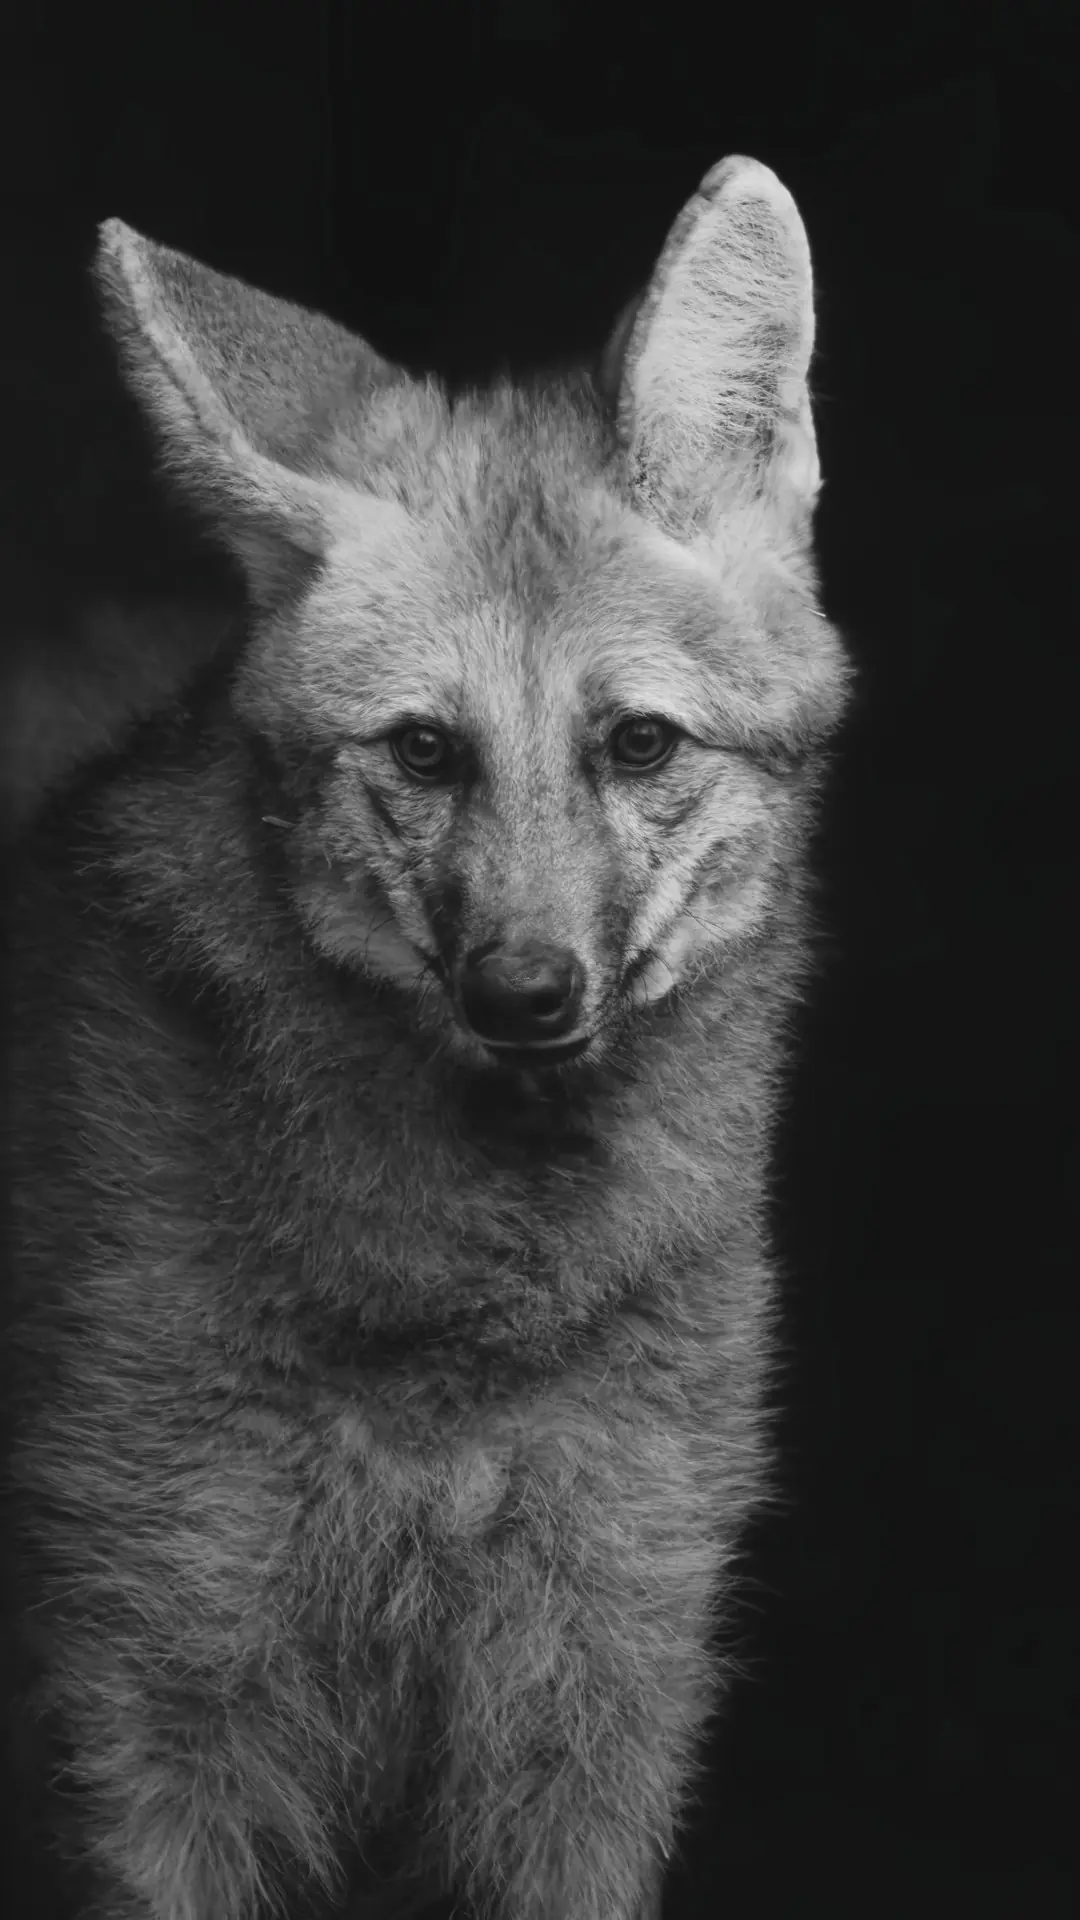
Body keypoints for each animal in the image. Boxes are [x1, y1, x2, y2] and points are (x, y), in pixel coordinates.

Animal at [5, 156, 850, 1919]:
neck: (462, 1334)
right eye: (422, 751)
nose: (526, 994)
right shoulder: (156, 1691)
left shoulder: (596, 1676)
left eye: (638, 743)